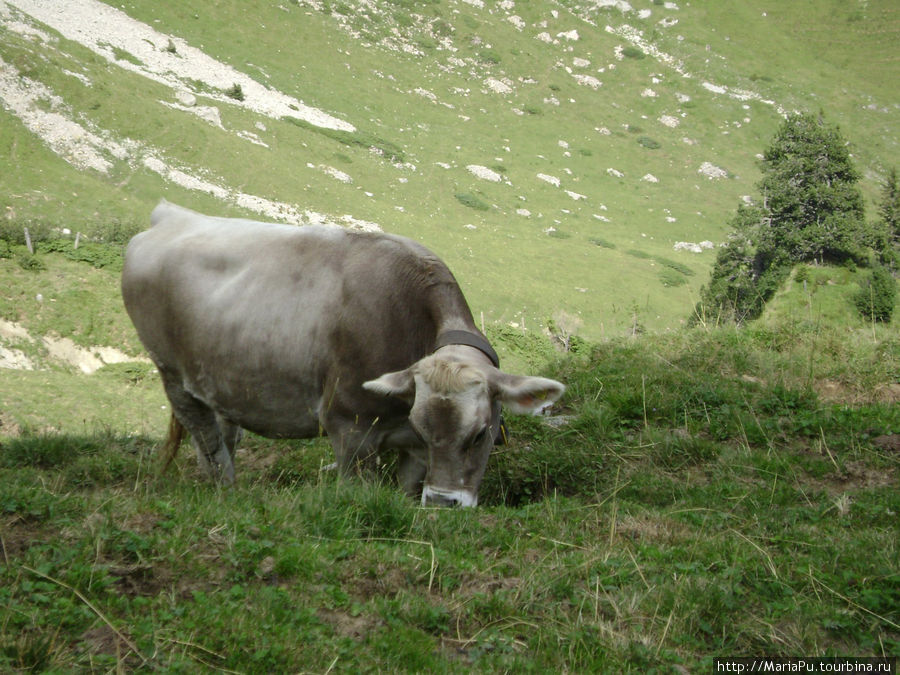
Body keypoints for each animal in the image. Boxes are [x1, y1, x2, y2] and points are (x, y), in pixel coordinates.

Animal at [121, 201, 564, 508]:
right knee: (208, 441)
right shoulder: (348, 427)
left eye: (479, 434)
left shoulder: (414, 451)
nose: (443, 504)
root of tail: (171, 215)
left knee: (221, 435)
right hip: (172, 374)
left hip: (222, 381)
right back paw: (225, 491)